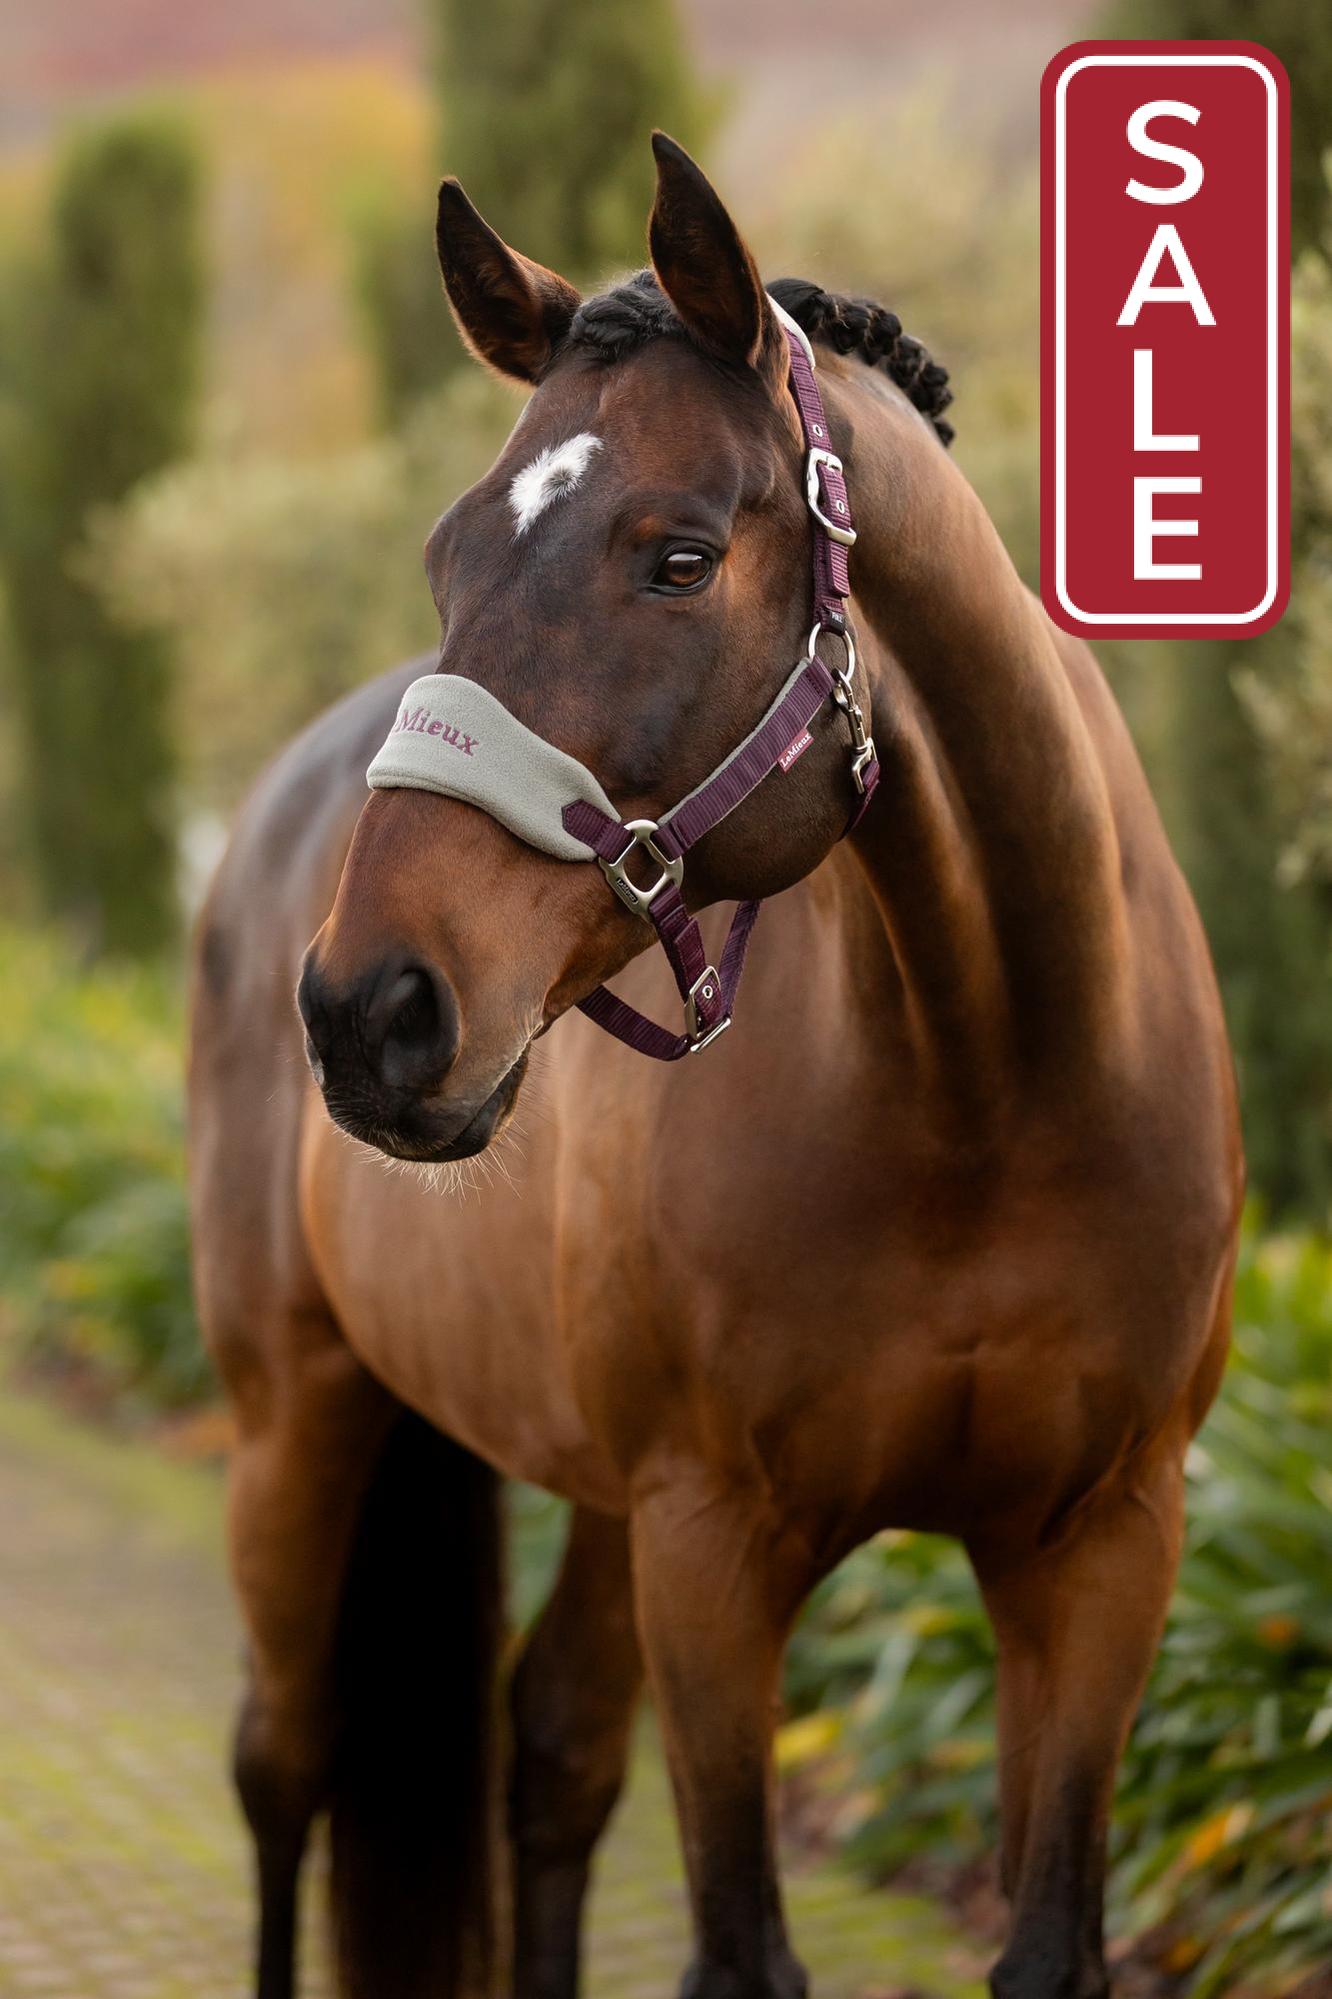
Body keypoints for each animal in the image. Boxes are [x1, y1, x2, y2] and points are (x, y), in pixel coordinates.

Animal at [189, 132, 1242, 1999]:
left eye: (677, 558)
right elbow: (738, 1944)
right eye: (448, 553)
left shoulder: (1104, 1546)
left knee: (546, 1753)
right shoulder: (713, 1547)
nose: (369, 1009)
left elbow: (1050, 1937)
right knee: (286, 1759)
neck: (991, 1087)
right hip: (294, 1416)